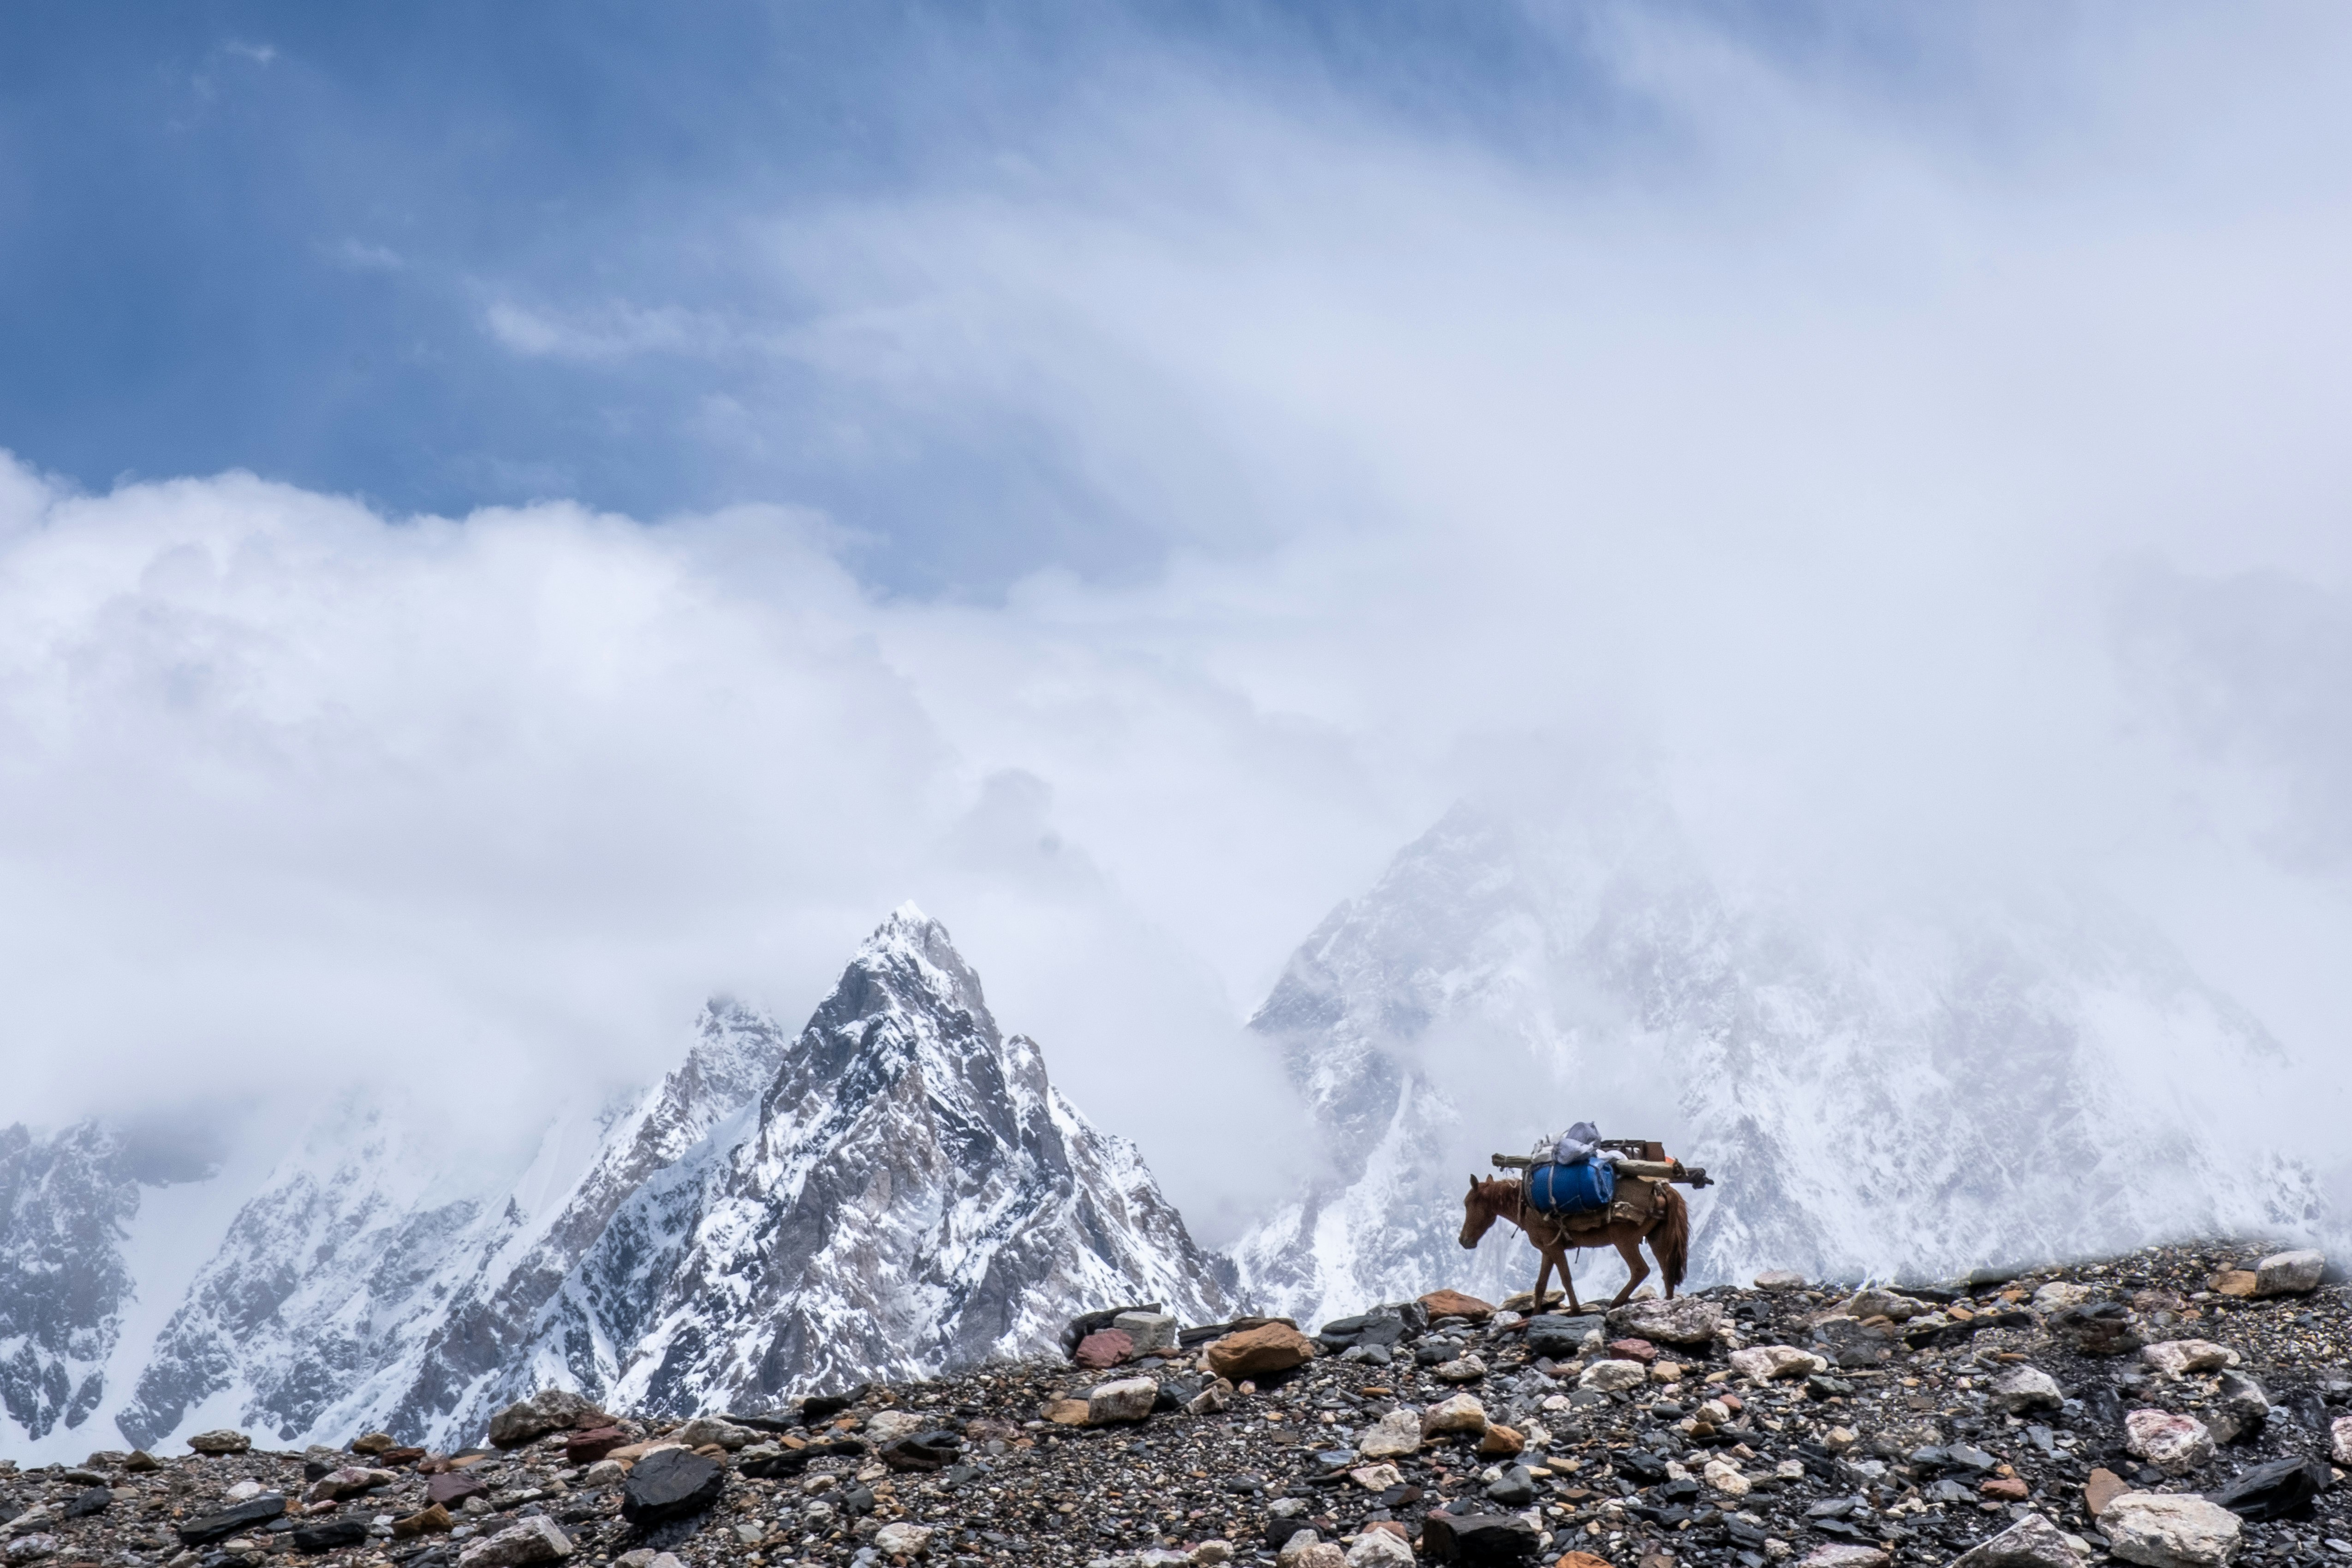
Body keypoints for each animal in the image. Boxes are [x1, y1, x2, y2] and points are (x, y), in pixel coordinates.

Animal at [1458, 1175, 1684, 1316]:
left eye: (1468, 1203)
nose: (1463, 1241)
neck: (1527, 1207)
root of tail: (1661, 1190)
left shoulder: (1555, 1249)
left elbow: (1566, 1279)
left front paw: (1575, 1310)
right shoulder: (1547, 1251)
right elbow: (1540, 1285)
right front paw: (1536, 1313)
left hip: (1625, 1242)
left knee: (1640, 1270)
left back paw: (1616, 1303)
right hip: (1657, 1239)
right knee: (1667, 1269)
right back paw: (1667, 1301)